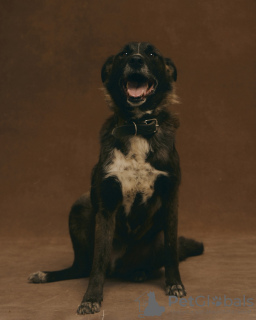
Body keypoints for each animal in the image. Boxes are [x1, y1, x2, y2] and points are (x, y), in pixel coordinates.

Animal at [28, 42, 204, 316]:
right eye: (124, 53)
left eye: (151, 54)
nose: (136, 60)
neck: (137, 126)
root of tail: (120, 265)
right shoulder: (106, 204)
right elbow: (98, 261)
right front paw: (91, 298)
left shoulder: (171, 198)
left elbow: (171, 252)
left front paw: (175, 284)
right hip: (80, 205)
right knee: (82, 267)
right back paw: (47, 275)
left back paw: (140, 272)